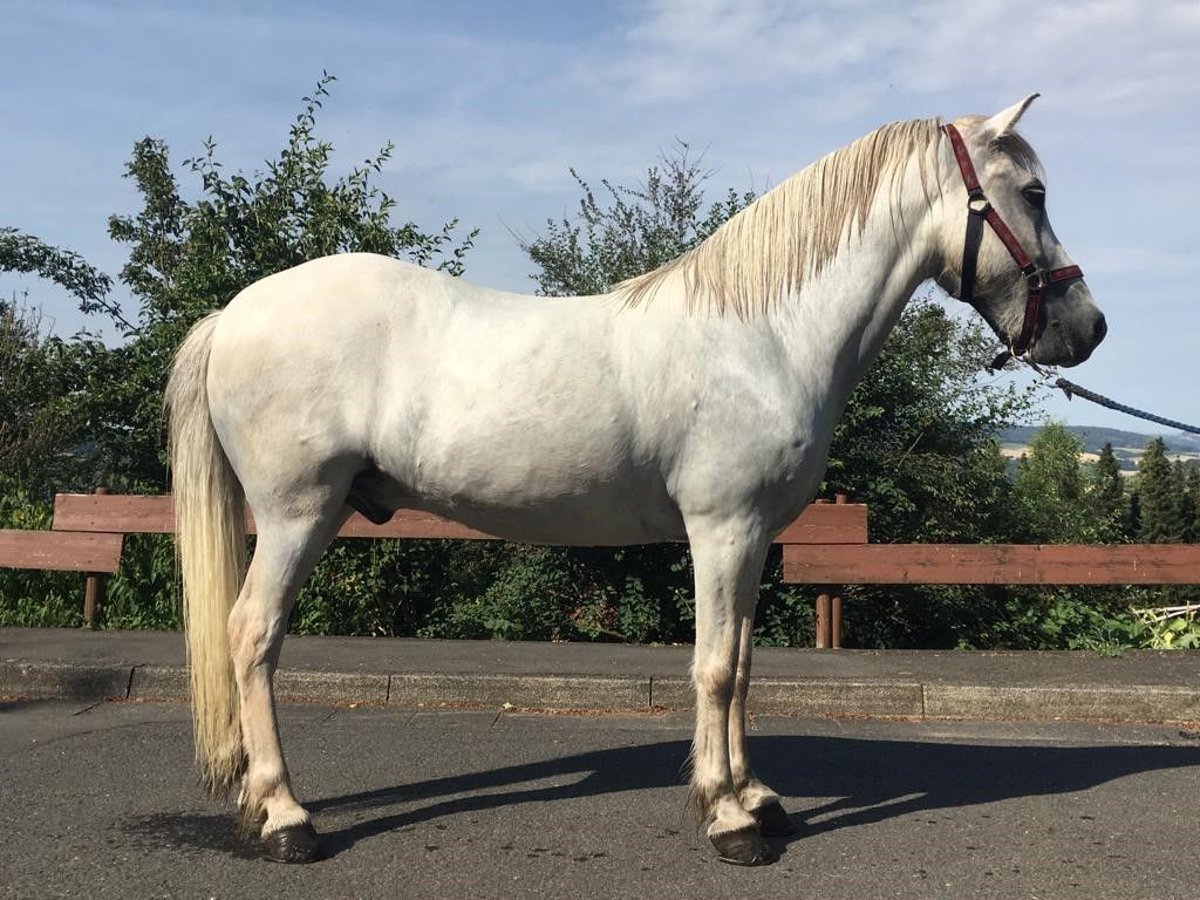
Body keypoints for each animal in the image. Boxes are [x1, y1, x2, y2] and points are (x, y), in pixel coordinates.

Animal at [166, 97, 1104, 868]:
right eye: (1032, 194)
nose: (1089, 327)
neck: (766, 331)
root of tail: (234, 313)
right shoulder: (722, 529)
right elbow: (714, 669)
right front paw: (728, 818)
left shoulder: (753, 539)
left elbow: (744, 664)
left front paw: (757, 798)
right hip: (298, 514)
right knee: (252, 635)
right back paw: (285, 817)